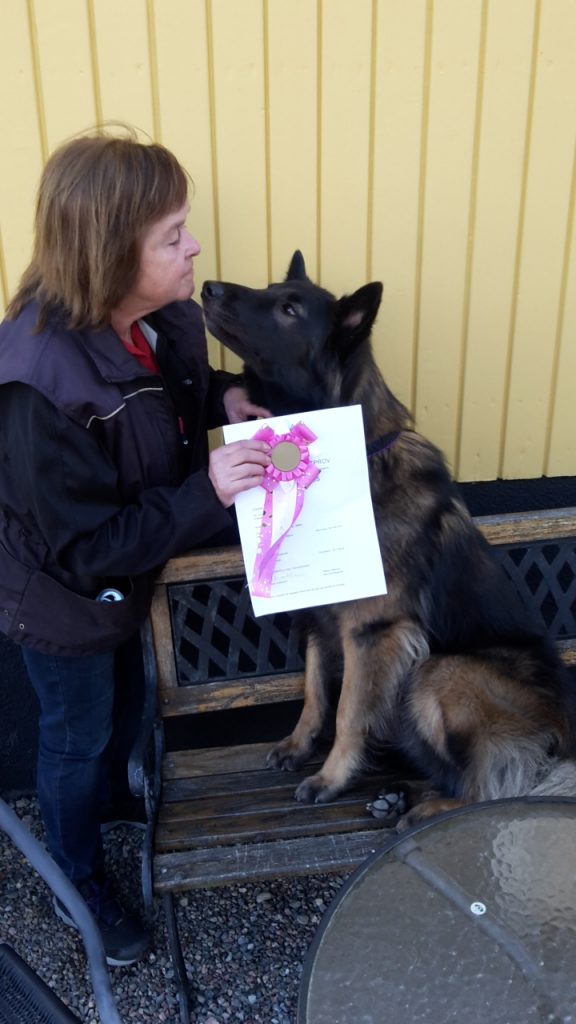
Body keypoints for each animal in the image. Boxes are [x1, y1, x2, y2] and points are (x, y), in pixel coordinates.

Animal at [198, 253, 573, 823]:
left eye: (289, 310)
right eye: (268, 290)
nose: (207, 287)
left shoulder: (372, 632)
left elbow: (349, 708)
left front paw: (330, 777)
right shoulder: (320, 618)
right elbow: (314, 693)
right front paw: (299, 745)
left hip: (438, 670)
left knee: (494, 785)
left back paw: (430, 810)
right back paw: (402, 795)